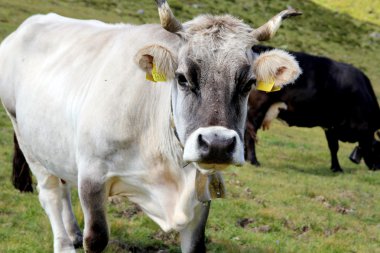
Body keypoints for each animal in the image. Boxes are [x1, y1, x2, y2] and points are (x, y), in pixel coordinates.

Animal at [0, 0, 302, 252]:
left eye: (249, 83)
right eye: (182, 78)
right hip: (26, 138)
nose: (217, 144)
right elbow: (96, 237)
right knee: (51, 194)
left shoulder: (200, 197)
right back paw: (65, 242)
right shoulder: (92, 178)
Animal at [246, 45, 380, 172]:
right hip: (257, 108)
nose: (376, 168)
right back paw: (253, 161)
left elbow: (332, 147)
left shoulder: (329, 125)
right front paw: (338, 168)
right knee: (250, 131)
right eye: (379, 148)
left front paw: (334, 167)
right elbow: (336, 147)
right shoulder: (337, 124)